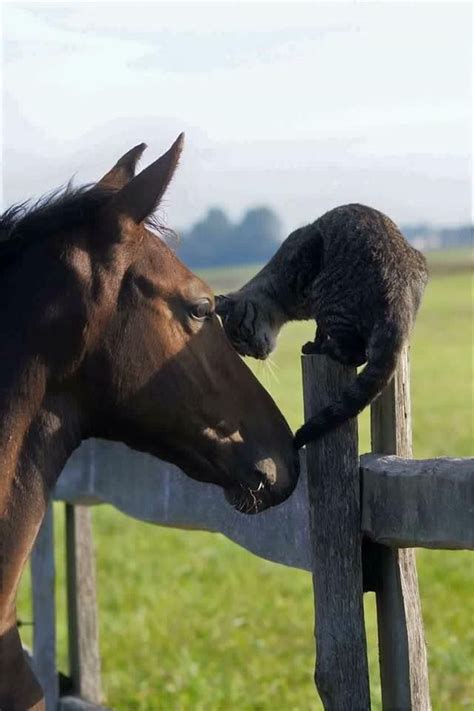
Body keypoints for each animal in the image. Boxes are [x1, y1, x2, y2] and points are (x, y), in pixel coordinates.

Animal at [217, 203, 428, 448]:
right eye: (244, 353)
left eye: (244, 334)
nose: (257, 355)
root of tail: (397, 287)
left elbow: (320, 330)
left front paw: (316, 344)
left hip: (326, 297)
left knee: (355, 354)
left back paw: (324, 348)